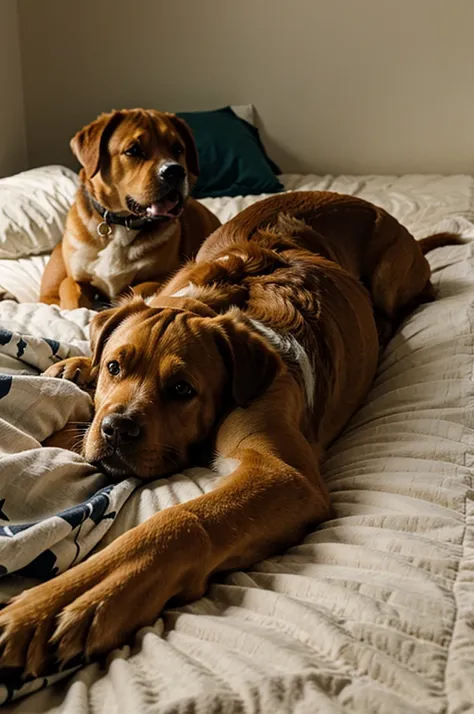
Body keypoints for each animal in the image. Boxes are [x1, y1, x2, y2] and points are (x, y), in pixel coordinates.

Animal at [0, 192, 460, 676]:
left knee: (406, 300)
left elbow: (182, 521)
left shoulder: (282, 472)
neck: (216, 305)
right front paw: (74, 375)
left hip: (391, 273)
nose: (116, 429)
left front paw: (68, 600)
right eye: (114, 367)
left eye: (182, 389)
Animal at [38, 107, 220, 308]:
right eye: (133, 150)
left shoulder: (162, 276)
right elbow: (71, 290)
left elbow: (136, 290)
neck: (121, 224)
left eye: (178, 149)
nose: (175, 171)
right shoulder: (76, 279)